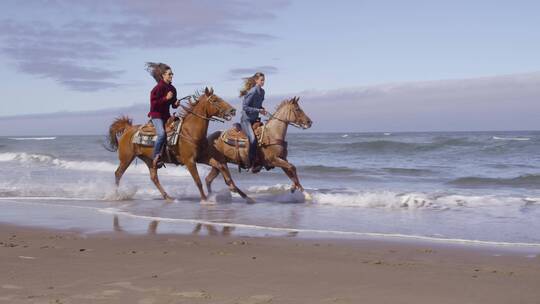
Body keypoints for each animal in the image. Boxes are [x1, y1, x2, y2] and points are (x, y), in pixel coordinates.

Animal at [106, 87, 237, 202]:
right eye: (215, 100)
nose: (233, 110)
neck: (189, 132)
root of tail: (128, 128)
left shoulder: (202, 157)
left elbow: (219, 166)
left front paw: (231, 186)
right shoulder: (189, 161)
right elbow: (198, 181)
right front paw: (205, 200)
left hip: (149, 160)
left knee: (154, 178)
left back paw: (167, 197)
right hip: (126, 158)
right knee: (118, 174)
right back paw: (116, 195)